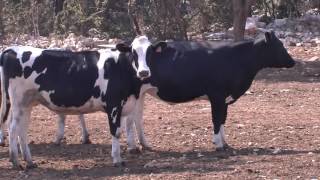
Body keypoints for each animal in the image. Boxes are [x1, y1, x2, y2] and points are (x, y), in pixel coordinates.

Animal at [0, 35, 151, 169]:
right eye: (133, 52)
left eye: (150, 51)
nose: (144, 72)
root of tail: (12, 49)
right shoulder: (114, 105)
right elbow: (116, 132)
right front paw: (117, 160)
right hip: (19, 102)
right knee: (13, 128)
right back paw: (16, 161)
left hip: (26, 103)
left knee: (22, 129)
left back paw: (29, 161)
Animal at [122, 31, 296, 151]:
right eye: (280, 46)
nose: (293, 62)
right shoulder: (217, 95)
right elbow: (216, 119)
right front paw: (218, 144)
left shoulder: (225, 98)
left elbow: (223, 119)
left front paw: (225, 143)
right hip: (133, 93)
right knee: (130, 119)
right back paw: (133, 147)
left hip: (141, 94)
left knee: (137, 118)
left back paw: (145, 144)